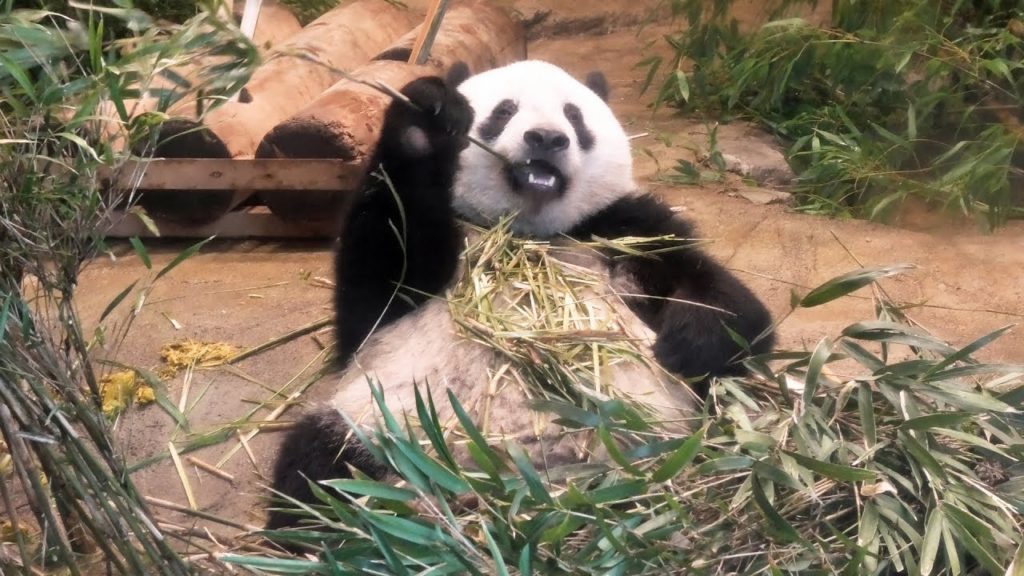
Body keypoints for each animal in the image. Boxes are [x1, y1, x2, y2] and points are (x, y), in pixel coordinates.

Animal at [266, 60, 775, 530]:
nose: (546, 139)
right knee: (319, 471)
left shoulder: (620, 229)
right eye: (504, 111)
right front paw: (426, 121)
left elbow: (729, 305)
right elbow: (377, 270)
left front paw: (688, 341)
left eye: (574, 115)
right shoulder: (413, 264)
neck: (526, 231)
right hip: (385, 429)